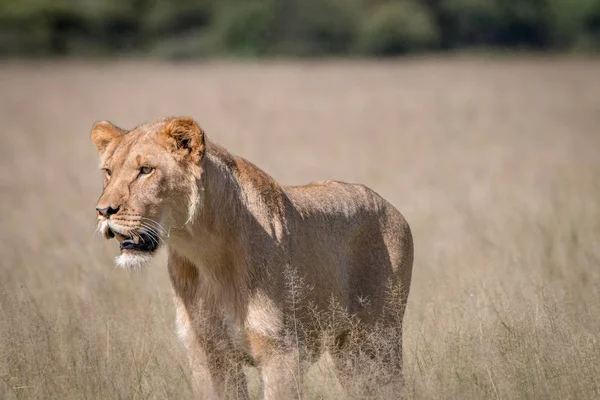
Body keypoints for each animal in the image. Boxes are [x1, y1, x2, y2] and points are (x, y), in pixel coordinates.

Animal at [92, 116, 412, 400]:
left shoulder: (283, 352)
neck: (203, 251)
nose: (104, 211)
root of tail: (392, 208)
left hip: (377, 343)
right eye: (108, 171)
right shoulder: (207, 353)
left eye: (146, 170)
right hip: (350, 353)